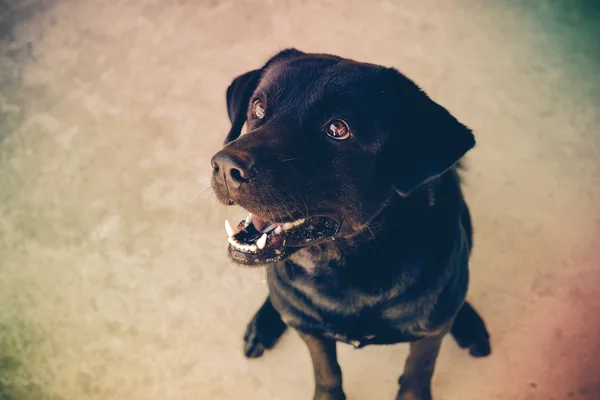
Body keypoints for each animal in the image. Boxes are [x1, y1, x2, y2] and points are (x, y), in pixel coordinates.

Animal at [211, 48, 488, 398]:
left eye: (338, 129)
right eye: (258, 107)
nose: (223, 167)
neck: (344, 267)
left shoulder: (429, 336)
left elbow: (417, 373)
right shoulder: (311, 332)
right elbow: (326, 371)